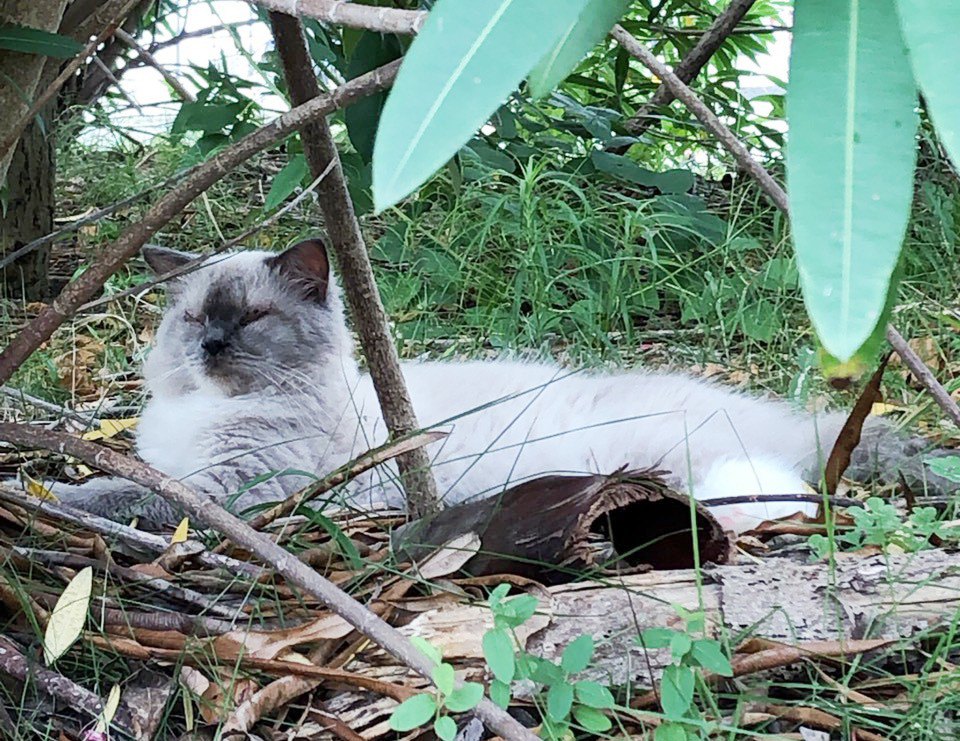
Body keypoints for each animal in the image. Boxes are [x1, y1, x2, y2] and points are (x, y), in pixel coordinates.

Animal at [22, 240, 952, 528]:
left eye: (248, 320)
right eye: (193, 321)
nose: (212, 347)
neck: (199, 416)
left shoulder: (227, 487)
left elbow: (119, 493)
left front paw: (39, 493)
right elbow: (122, 478)